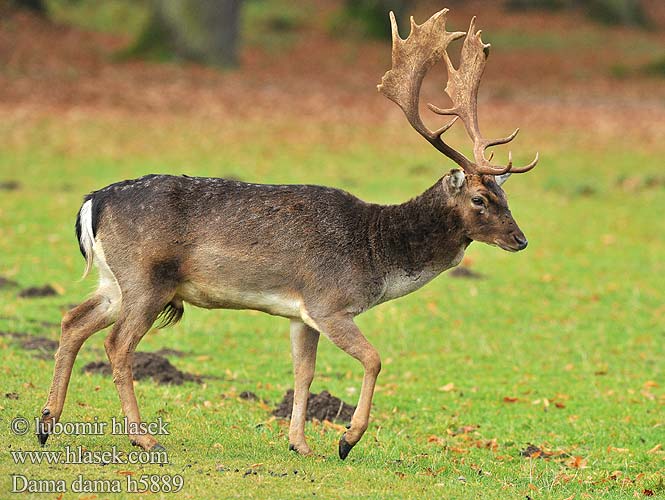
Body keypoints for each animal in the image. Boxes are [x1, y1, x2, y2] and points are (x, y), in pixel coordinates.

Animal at [39, 8, 540, 460]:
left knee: (72, 320)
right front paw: (345, 440)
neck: (376, 252)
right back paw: (143, 437)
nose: (521, 240)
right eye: (480, 199)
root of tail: (92, 202)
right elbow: (374, 358)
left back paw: (48, 423)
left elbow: (305, 372)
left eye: (504, 193)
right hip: (147, 278)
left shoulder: (302, 314)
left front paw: (299, 442)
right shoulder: (329, 301)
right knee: (117, 345)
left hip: (115, 281)